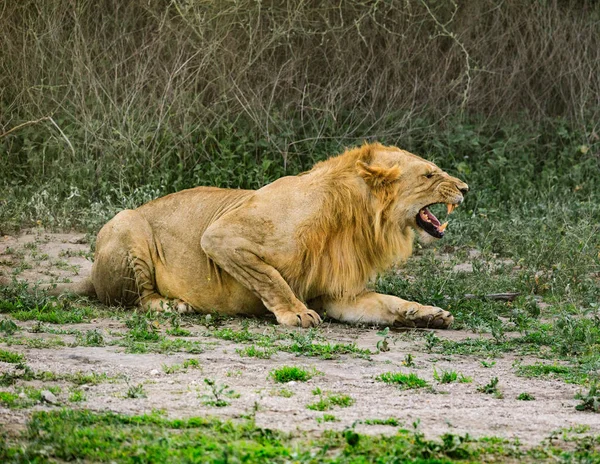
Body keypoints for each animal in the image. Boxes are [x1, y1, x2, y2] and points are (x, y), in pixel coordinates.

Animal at [42, 143, 468, 328]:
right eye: (430, 174)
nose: (465, 187)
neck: (355, 221)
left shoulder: (336, 292)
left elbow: (386, 303)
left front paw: (426, 314)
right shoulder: (221, 237)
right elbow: (272, 278)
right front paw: (296, 313)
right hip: (127, 223)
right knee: (136, 299)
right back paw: (169, 305)